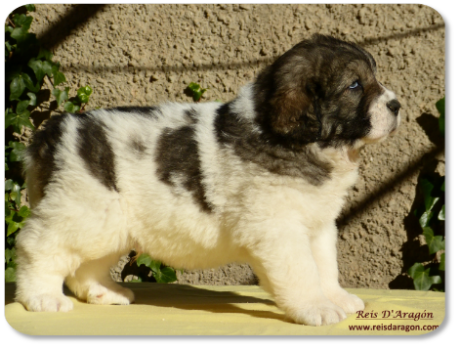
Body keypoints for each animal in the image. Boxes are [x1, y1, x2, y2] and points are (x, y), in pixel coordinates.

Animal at [16, 34, 398, 324]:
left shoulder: (317, 224)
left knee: (85, 265)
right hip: (83, 209)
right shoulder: (279, 229)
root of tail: (51, 134)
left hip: (108, 224)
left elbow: (325, 266)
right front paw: (317, 308)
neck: (302, 145)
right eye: (355, 85)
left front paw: (337, 298)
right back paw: (42, 297)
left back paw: (102, 291)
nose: (396, 105)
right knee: (38, 245)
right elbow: (302, 271)